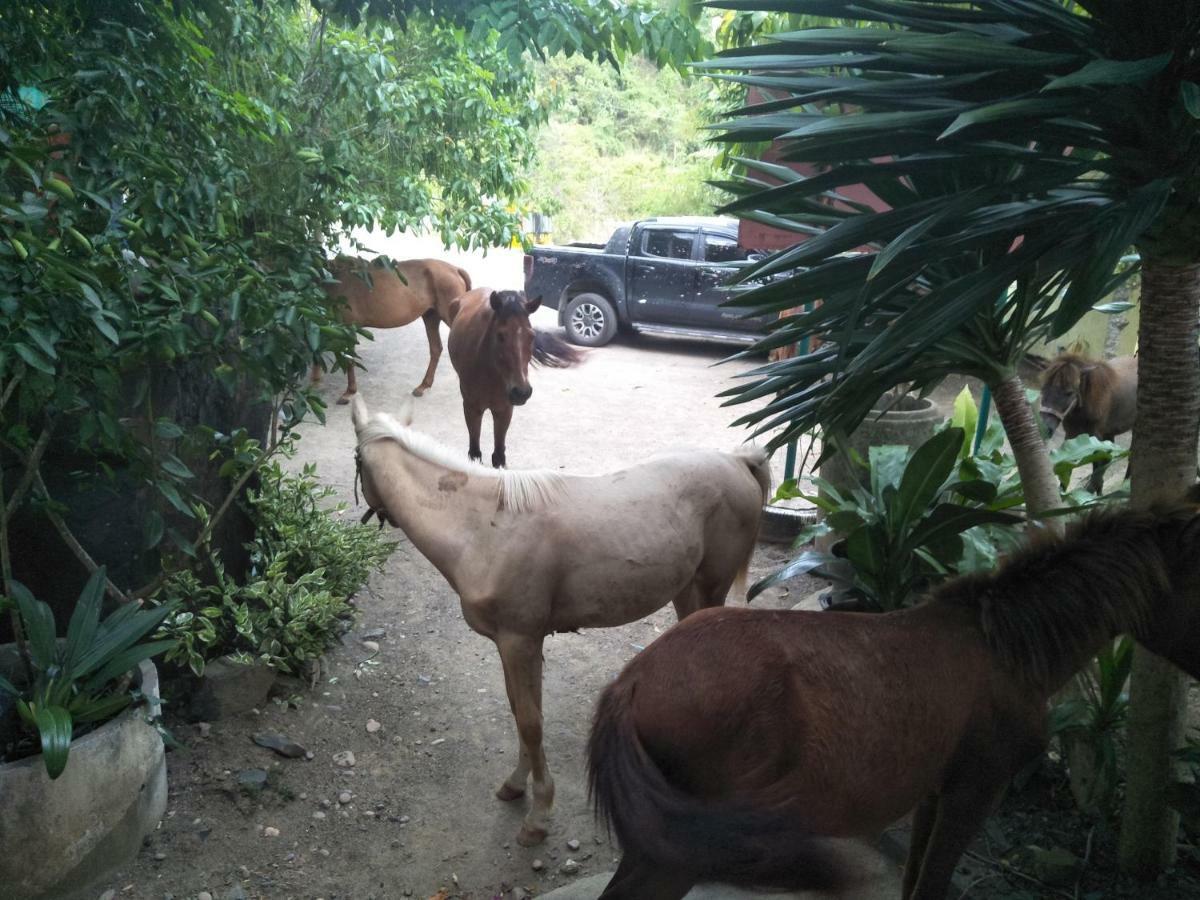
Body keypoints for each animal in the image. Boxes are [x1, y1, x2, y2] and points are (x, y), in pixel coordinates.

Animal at [312, 256, 470, 405]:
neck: (336, 279)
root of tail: (455, 269)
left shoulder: (348, 327)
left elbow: (349, 359)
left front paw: (349, 392)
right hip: (431, 316)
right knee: (436, 348)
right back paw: (423, 386)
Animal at [350, 393, 772, 844]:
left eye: (356, 459)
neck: (484, 530)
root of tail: (737, 460)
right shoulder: (511, 643)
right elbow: (520, 713)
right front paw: (516, 785)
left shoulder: (520, 641)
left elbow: (531, 722)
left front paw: (539, 816)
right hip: (685, 591)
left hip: (710, 588)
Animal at [448, 289, 583, 468]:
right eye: (500, 336)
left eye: (531, 336)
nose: (521, 392)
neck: (490, 374)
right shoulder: (472, 409)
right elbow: (475, 453)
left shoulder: (504, 410)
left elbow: (498, 456)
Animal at [588, 501, 1200, 900]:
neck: (1002, 649)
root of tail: (632, 681)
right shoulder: (975, 790)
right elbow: (931, 885)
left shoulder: (936, 792)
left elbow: (915, 882)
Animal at [1036, 352, 1137, 494]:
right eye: (1043, 388)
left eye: (1069, 392)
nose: (1044, 428)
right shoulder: (1072, 435)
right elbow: (1068, 463)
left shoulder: (1095, 435)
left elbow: (1097, 461)